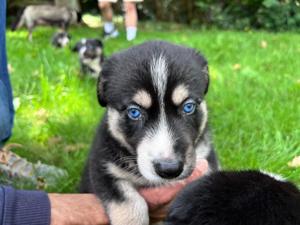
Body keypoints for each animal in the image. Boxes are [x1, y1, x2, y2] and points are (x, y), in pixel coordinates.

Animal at [79, 41, 219, 225]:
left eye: (188, 107)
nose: (169, 169)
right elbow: (130, 204)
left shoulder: (207, 159)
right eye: (134, 112)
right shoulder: (103, 167)